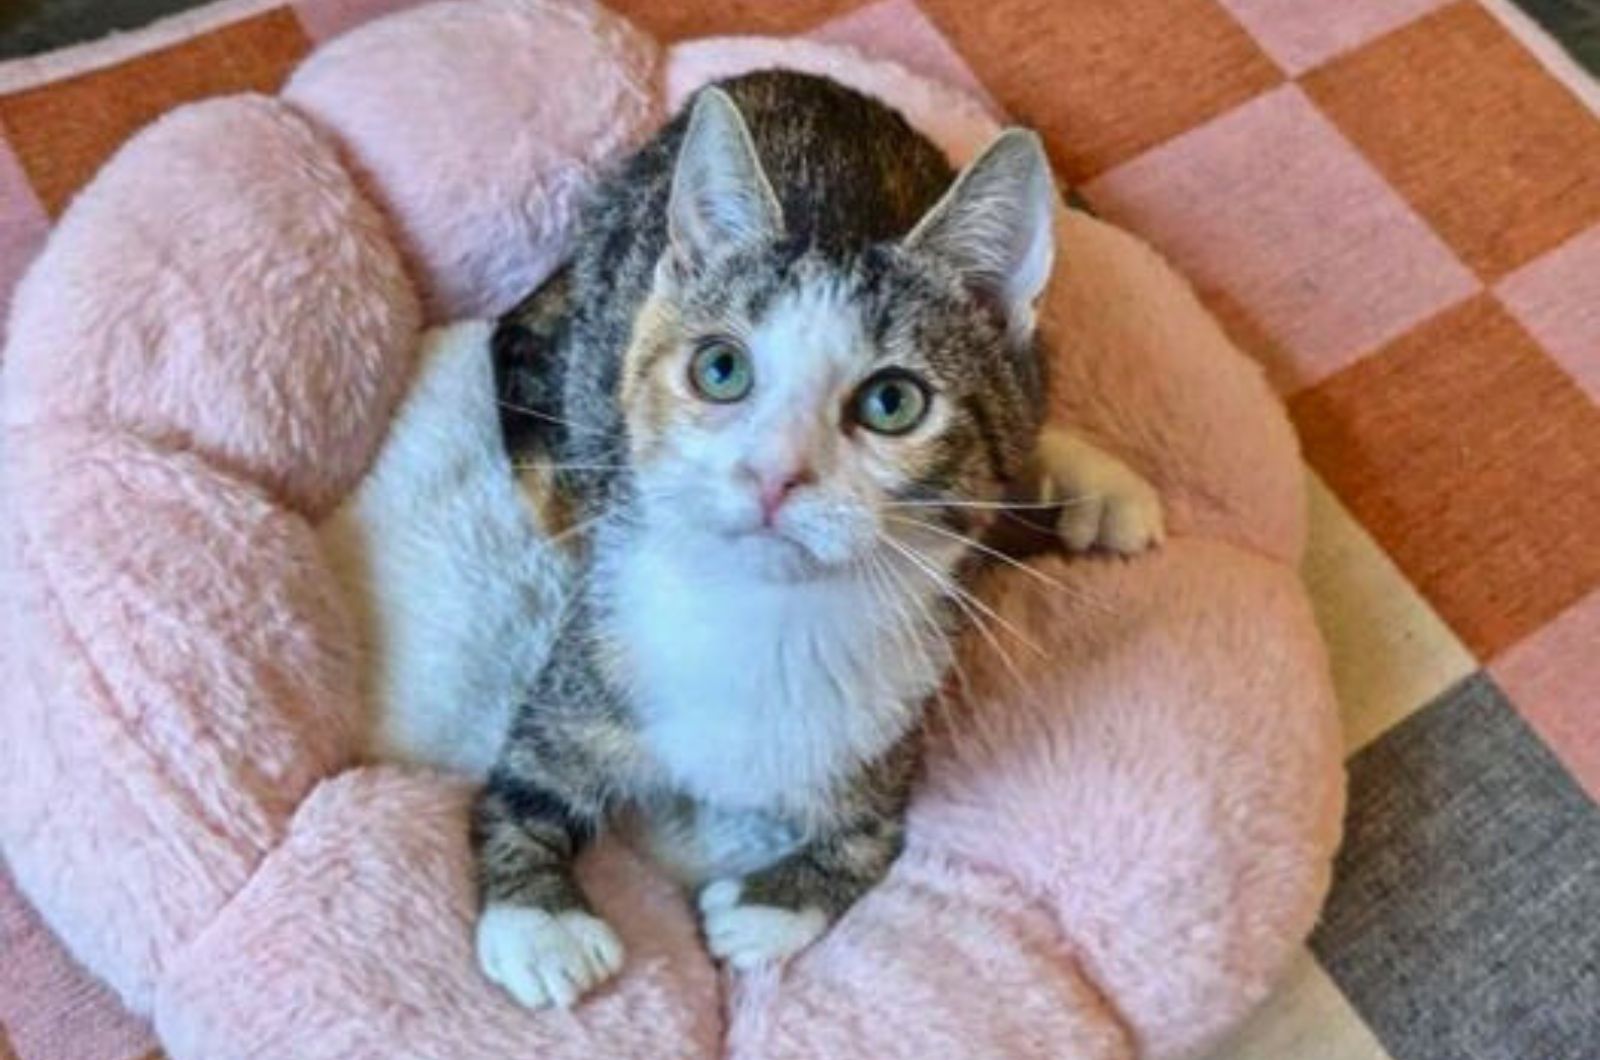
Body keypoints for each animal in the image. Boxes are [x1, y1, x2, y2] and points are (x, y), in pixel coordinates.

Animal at [473, 74, 1164, 1011]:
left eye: (893, 402)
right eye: (720, 369)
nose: (775, 473)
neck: (768, 623)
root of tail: (788, 76)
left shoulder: (896, 718)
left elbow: (872, 839)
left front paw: (768, 907)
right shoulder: (591, 667)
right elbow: (513, 789)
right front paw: (539, 925)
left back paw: (1098, 486)